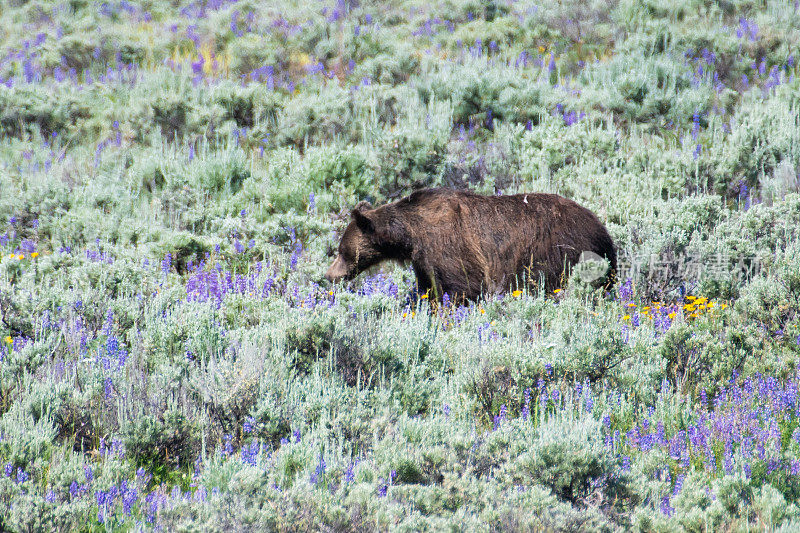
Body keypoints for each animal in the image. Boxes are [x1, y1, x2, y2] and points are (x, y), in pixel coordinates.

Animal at [324, 189, 620, 302]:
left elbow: (462, 287)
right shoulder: (424, 260)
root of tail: (602, 230)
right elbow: (429, 290)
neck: (409, 235)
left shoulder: (447, 245)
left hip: (556, 250)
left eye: (341, 251)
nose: (328, 275)